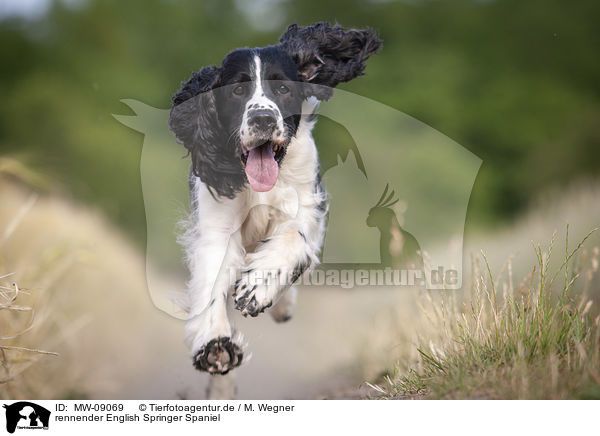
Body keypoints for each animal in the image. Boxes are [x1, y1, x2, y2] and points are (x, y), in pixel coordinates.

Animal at [169, 22, 380, 380]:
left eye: (282, 88)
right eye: (237, 91)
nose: (263, 120)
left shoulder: (307, 205)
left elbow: (294, 239)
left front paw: (257, 288)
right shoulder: (216, 227)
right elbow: (212, 279)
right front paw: (216, 346)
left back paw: (281, 304)